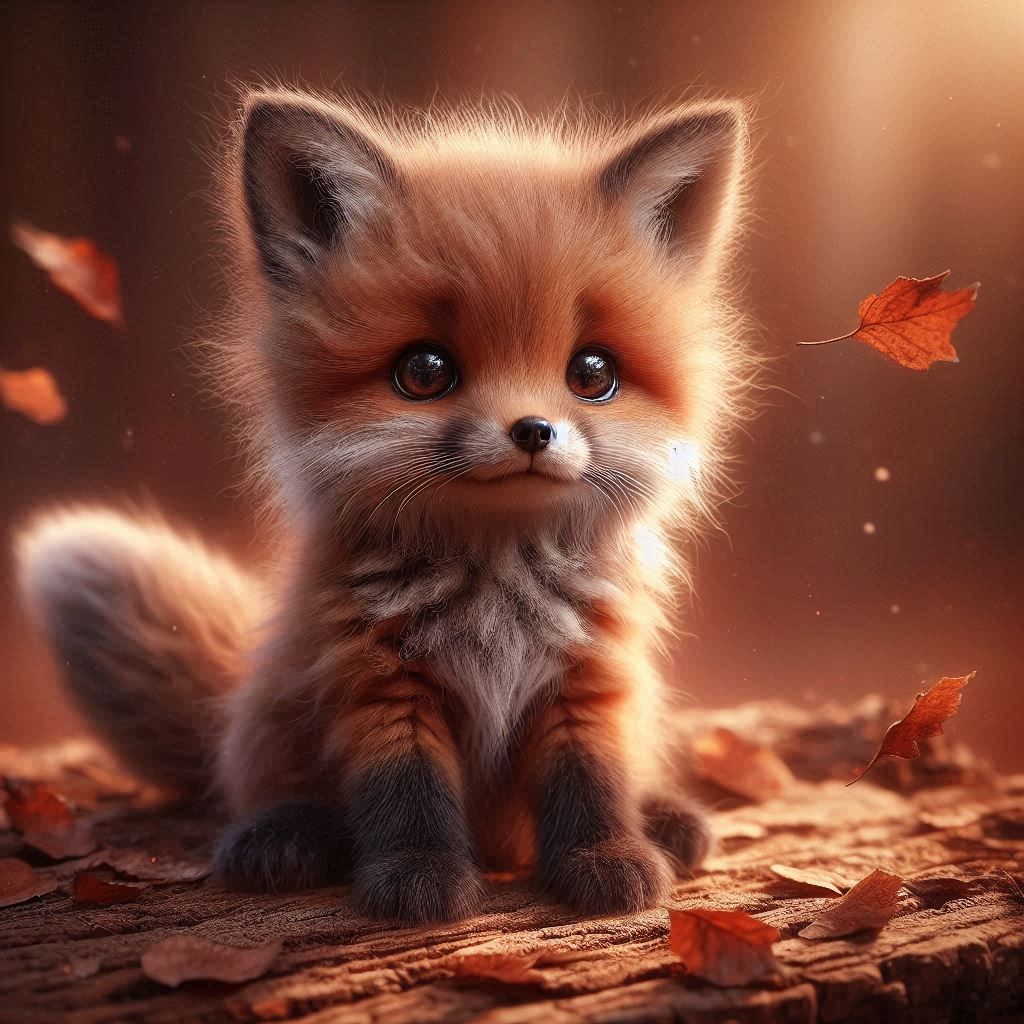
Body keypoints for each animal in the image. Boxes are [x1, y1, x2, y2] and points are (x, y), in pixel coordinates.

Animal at [15, 87, 755, 923]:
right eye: (425, 371)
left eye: (593, 373)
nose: (533, 431)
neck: (495, 588)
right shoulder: (379, 685)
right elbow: (409, 796)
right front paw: (419, 879)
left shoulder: (587, 681)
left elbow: (590, 783)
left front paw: (609, 858)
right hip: (276, 718)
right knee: (258, 785)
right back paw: (282, 834)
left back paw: (667, 818)